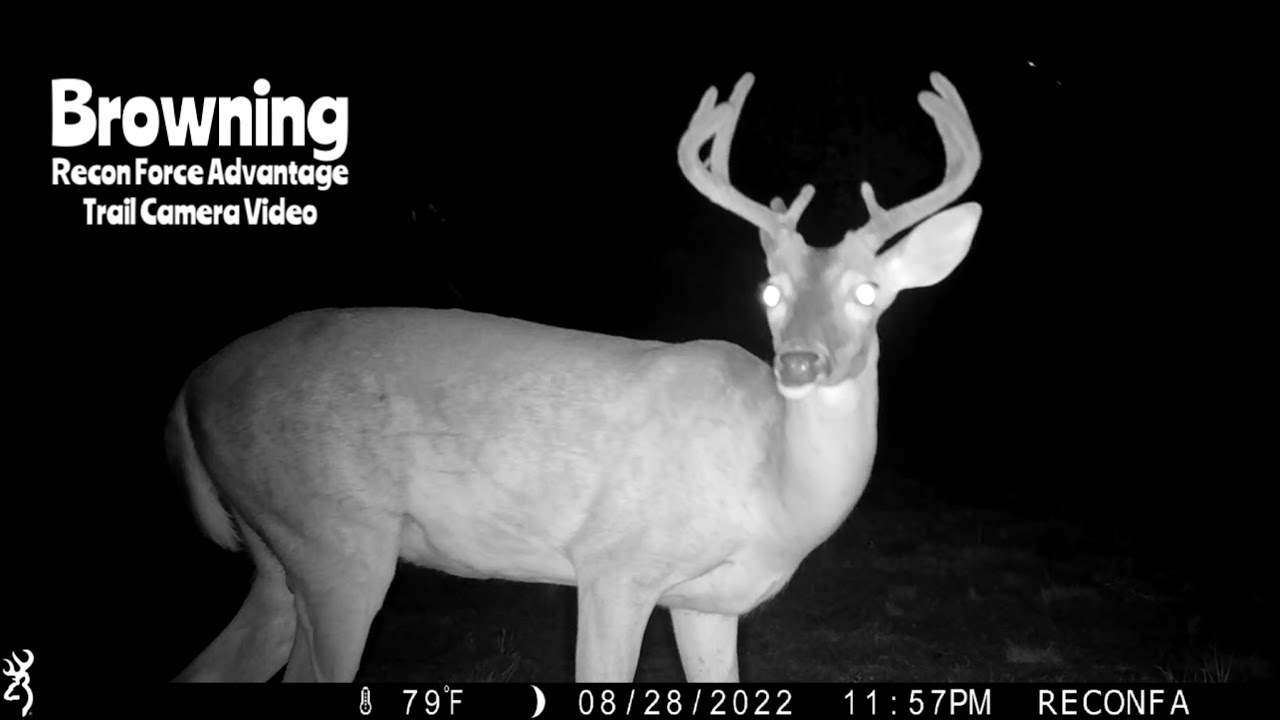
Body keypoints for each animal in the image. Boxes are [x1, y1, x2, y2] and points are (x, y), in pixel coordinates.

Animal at [167, 70, 981, 683]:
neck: (773, 491)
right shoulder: (615, 563)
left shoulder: (709, 603)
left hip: (276, 551)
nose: (802, 361)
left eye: (869, 293)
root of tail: (189, 388)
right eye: (769, 291)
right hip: (337, 537)